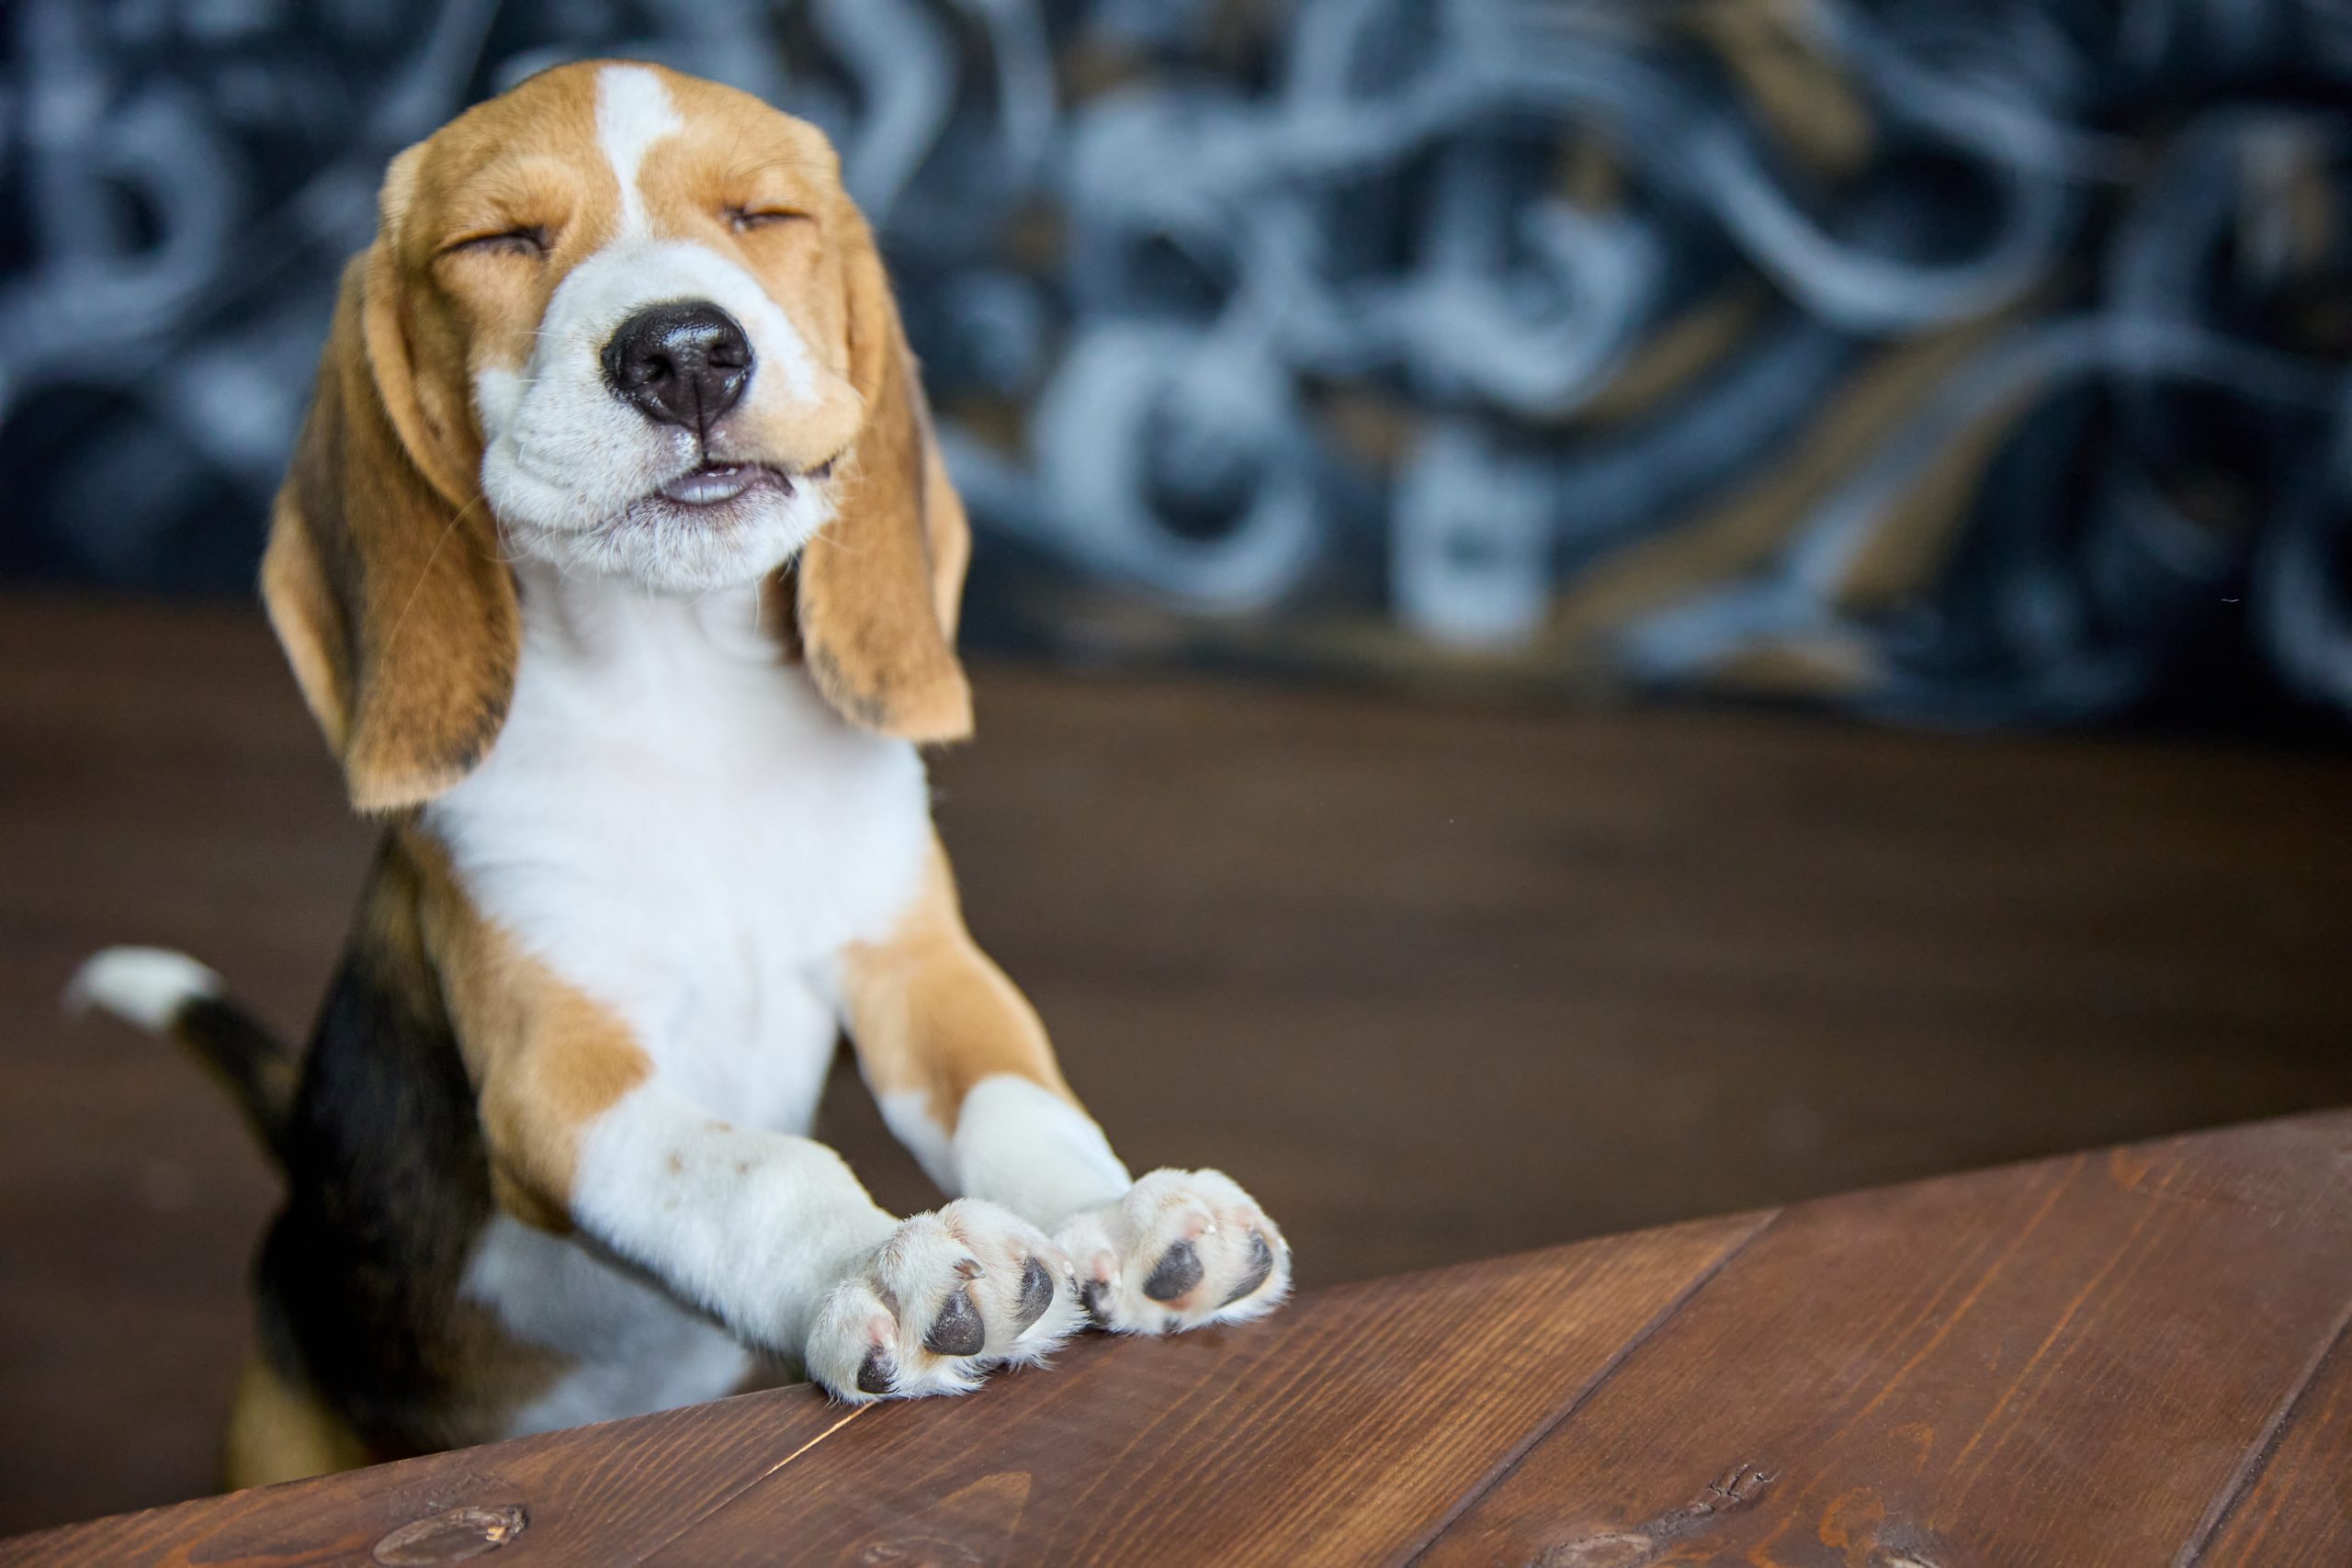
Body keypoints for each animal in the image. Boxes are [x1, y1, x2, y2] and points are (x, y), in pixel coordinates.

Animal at [78, 58, 1288, 1485]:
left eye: (761, 216)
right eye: (499, 241)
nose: (685, 353)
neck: (688, 703)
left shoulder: (918, 968)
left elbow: (1017, 1101)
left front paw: (1127, 1213)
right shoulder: (563, 1075)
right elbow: (753, 1166)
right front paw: (878, 1261)